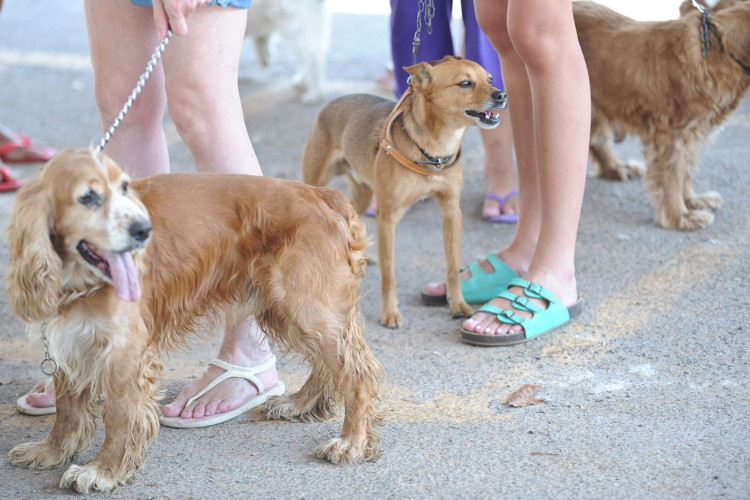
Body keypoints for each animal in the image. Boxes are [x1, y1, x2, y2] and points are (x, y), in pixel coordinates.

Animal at [4, 148, 382, 492]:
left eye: (124, 187)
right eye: (88, 197)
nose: (144, 230)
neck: (79, 279)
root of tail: (323, 195)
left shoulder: (124, 352)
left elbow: (120, 416)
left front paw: (103, 470)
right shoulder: (71, 340)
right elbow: (67, 410)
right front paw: (51, 451)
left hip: (304, 305)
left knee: (357, 373)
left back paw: (351, 442)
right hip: (288, 308)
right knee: (328, 365)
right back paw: (300, 404)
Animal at [302, 55, 508, 328]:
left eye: (490, 79)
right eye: (465, 83)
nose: (501, 94)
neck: (436, 149)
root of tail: (331, 103)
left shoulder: (451, 211)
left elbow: (453, 267)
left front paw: (458, 304)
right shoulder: (388, 217)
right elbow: (389, 273)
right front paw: (390, 313)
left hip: (364, 194)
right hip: (316, 183)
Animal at [576, 0, 750, 230]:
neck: (718, 48)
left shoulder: (689, 133)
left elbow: (685, 171)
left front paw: (692, 201)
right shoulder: (670, 134)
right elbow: (673, 176)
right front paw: (680, 216)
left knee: (596, 138)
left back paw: (617, 167)